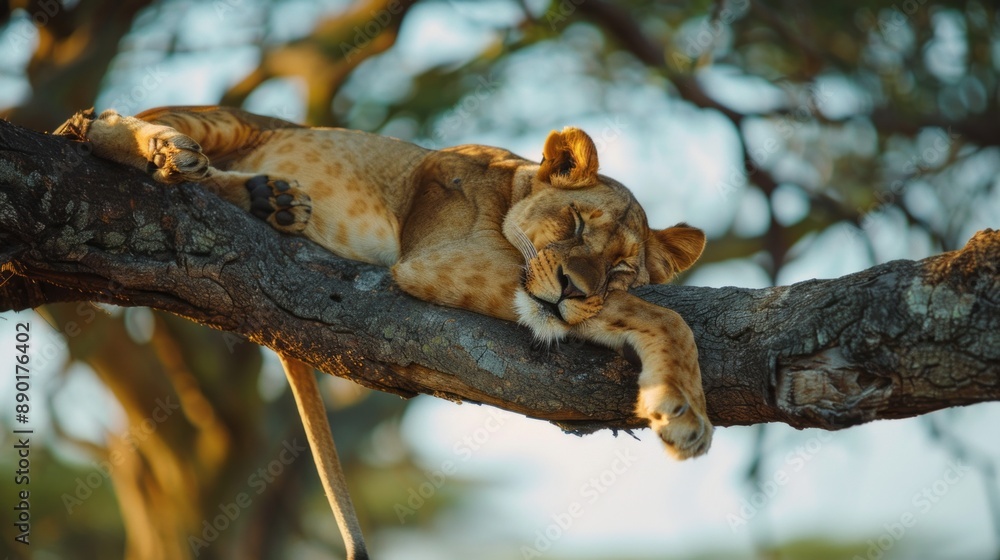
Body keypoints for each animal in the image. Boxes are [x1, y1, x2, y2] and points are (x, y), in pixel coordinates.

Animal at [55, 106, 712, 559]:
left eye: (621, 266)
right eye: (574, 222)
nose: (575, 288)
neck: (513, 183)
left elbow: (629, 307)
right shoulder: (440, 259)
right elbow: (664, 314)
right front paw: (685, 412)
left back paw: (270, 201)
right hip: (221, 118)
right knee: (93, 123)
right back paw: (163, 152)